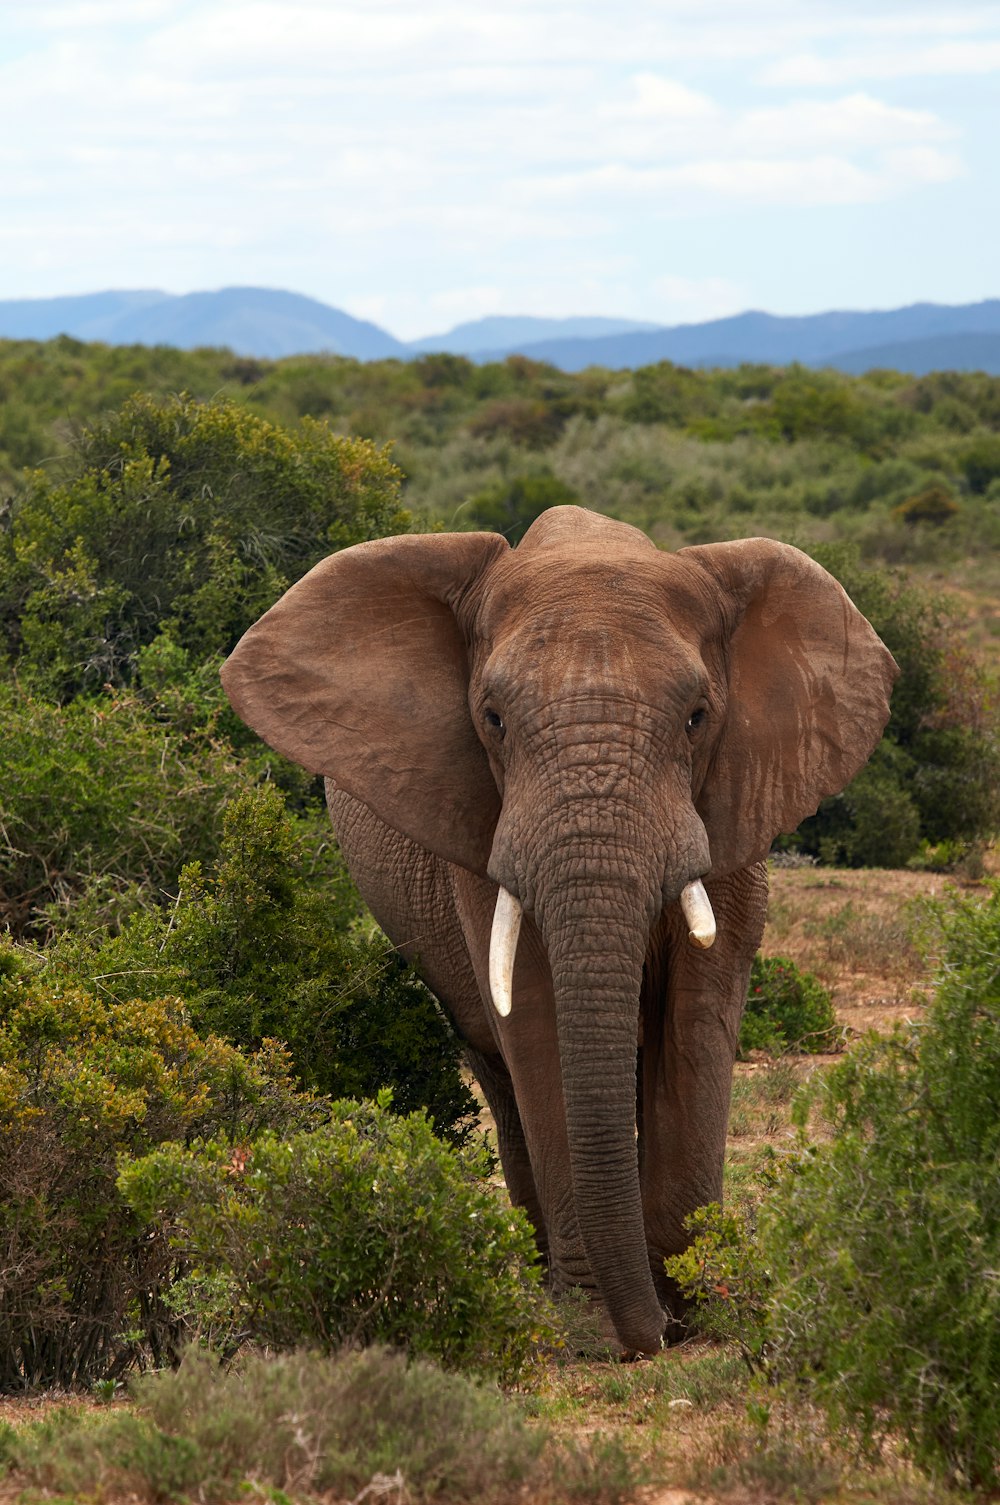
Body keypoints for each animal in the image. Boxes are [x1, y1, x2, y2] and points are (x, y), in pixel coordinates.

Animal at [221, 502, 897, 1354]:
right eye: (493, 719)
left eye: (697, 717)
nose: (654, 1336)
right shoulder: (483, 824)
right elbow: (536, 1012)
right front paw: (595, 1323)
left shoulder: (734, 799)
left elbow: (699, 1008)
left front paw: (704, 1305)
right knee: (496, 1064)